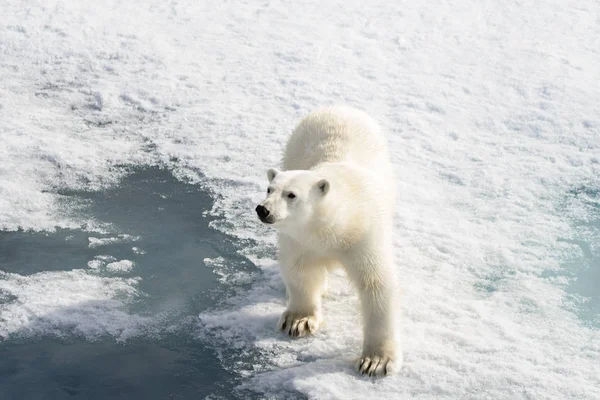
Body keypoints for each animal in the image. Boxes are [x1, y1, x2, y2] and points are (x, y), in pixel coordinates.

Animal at [255, 105, 400, 376]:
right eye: (269, 189)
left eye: (291, 195)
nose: (263, 209)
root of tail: (339, 108)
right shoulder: (300, 239)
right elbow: (299, 270)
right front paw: (298, 321)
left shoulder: (363, 235)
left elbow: (376, 283)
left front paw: (375, 362)